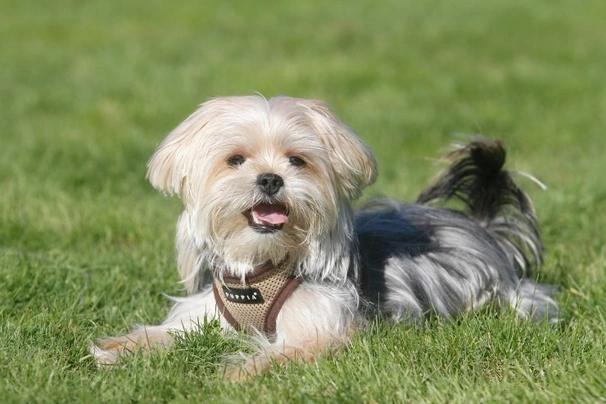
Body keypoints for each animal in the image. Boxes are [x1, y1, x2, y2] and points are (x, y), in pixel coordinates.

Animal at [90, 94, 560, 378]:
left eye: (297, 160)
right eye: (235, 159)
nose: (270, 178)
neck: (261, 264)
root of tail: (480, 226)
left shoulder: (321, 329)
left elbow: (284, 353)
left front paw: (236, 373)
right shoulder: (205, 312)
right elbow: (164, 333)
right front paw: (116, 349)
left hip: (503, 294)